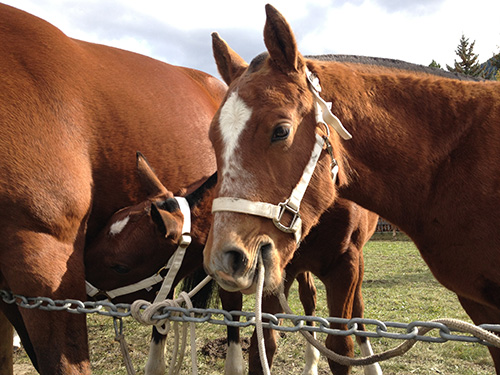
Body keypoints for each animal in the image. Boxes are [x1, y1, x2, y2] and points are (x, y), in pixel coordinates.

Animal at [84, 153, 380, 375]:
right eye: (96, 241)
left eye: (120, 266)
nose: (80, 292)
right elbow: (262, 346)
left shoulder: (345, 266)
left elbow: (341, 348)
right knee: (309, 300)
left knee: (356, 309)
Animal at [201, 2, 500, 374]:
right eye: (213, 138)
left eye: (281, 131)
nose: (225, 258)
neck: (456, 157)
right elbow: (263, 346)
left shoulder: (345, 265)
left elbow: (340, 344)